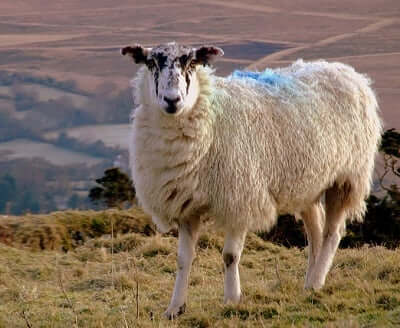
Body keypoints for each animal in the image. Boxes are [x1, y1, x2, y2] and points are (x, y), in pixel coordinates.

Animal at [120, 42, 382, 320]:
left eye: (192, 63)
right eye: (151, 63)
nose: (172, 100)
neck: (211, 116)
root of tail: (346, 71)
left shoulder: (240, 197)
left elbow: (229, 256)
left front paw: (232, 300)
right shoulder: (186, 206)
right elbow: (183, 259)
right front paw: (175, 308)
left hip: (346, 177)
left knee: (333, 233)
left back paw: (316, 281)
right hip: (307, 182)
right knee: (316, 232)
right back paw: (309, 282)